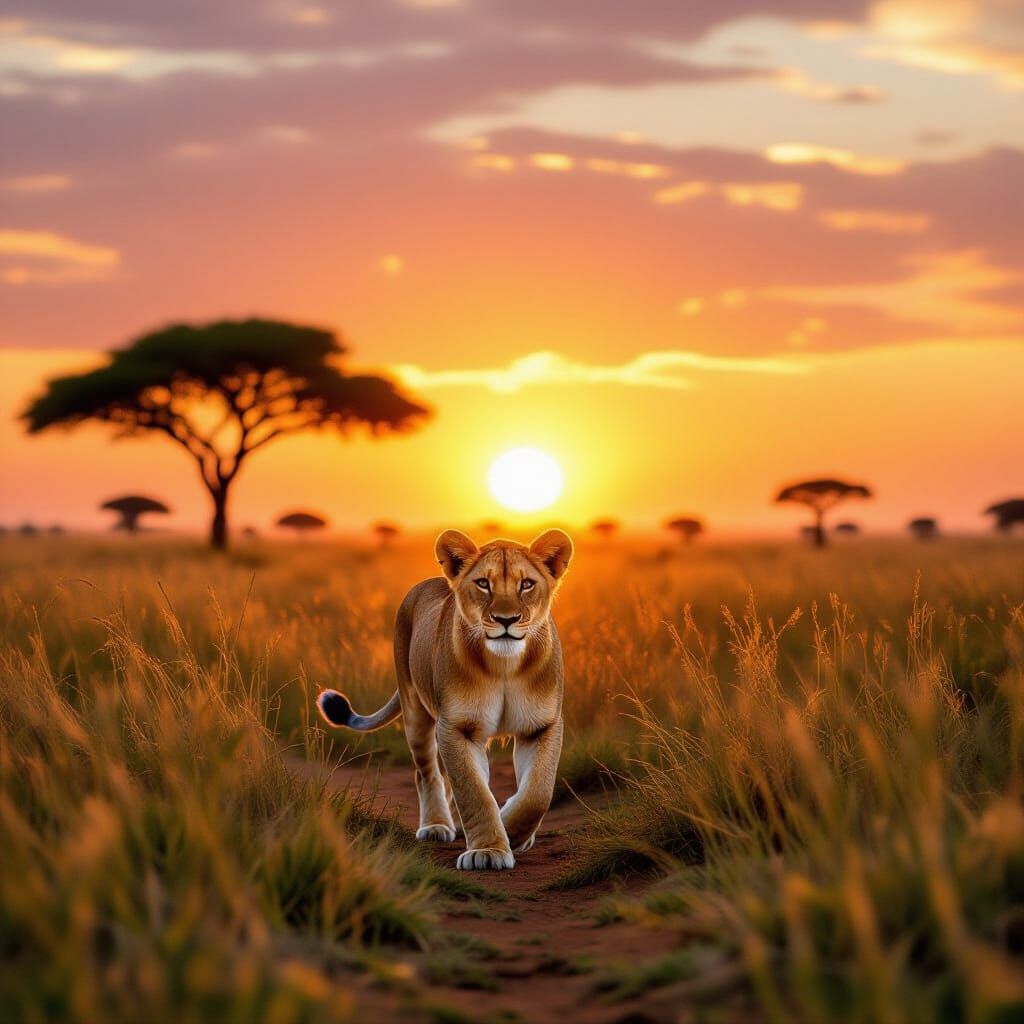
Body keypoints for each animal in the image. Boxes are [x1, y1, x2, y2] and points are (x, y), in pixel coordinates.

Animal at [316, 528, 573, 870]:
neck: (504, 665)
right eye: (483, 583)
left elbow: (537, 792)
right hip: (416, 712)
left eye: (527, 584)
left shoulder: (542, 726)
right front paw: (488, 851)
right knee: (426, 772)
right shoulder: (456, 727)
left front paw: (512, 831)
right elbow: (474, 792)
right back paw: (437, 825)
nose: (506, 619)